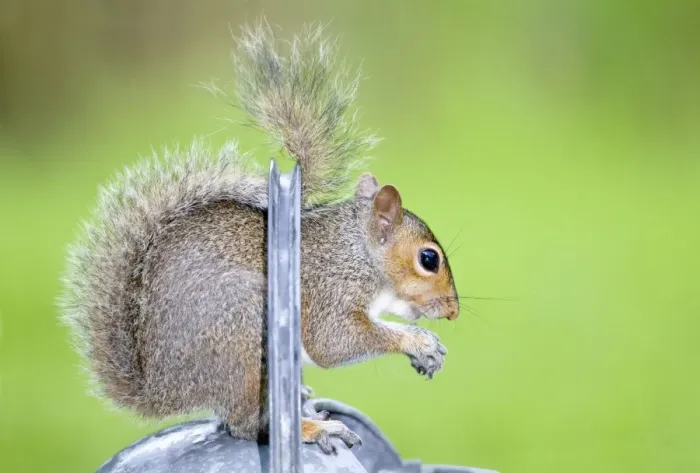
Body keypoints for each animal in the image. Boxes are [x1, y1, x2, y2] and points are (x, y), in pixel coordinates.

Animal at [59, 21, 460, 455]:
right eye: (429, 259)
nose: (453, 311)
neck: (357, 251)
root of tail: (165, 390)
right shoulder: (329, 290)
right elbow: (336, 342)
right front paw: (419, 342)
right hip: (244, 333)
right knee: (244, 425)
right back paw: (314, 429)